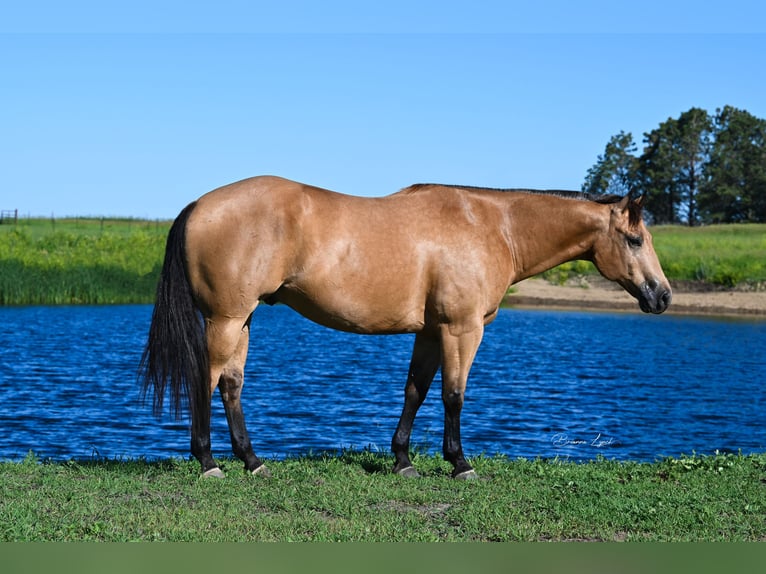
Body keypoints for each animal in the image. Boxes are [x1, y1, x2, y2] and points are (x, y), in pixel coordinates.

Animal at [140, 176, 672, 482]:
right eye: (635, 239)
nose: (662, 296)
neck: (494, 227)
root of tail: (198, 205)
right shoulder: (462, 330)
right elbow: (454, 396)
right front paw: (460, 464)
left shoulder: (431, 331)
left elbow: (415, 391)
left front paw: (403, 461)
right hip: (226, 319)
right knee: (205, 381)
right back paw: (209, 463)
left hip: (243, 320)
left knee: (231, 385)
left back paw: (252, 461)